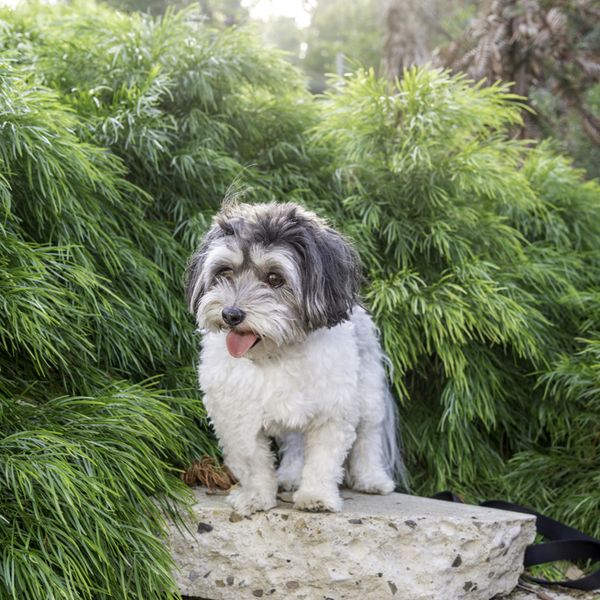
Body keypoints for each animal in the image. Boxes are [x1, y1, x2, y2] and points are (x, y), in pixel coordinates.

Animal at [186, 202, 404, 516]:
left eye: (274, 278)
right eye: (224, 271)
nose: (231, 314)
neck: (277, 353)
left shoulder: (332, 412)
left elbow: (323, 460)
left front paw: (316, 497)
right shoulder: (236, 417)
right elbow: (253, 462)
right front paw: (256, 497)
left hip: (369, 395)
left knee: (367, 438)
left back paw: (372, 479)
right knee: (295, 441)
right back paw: (289, 476)